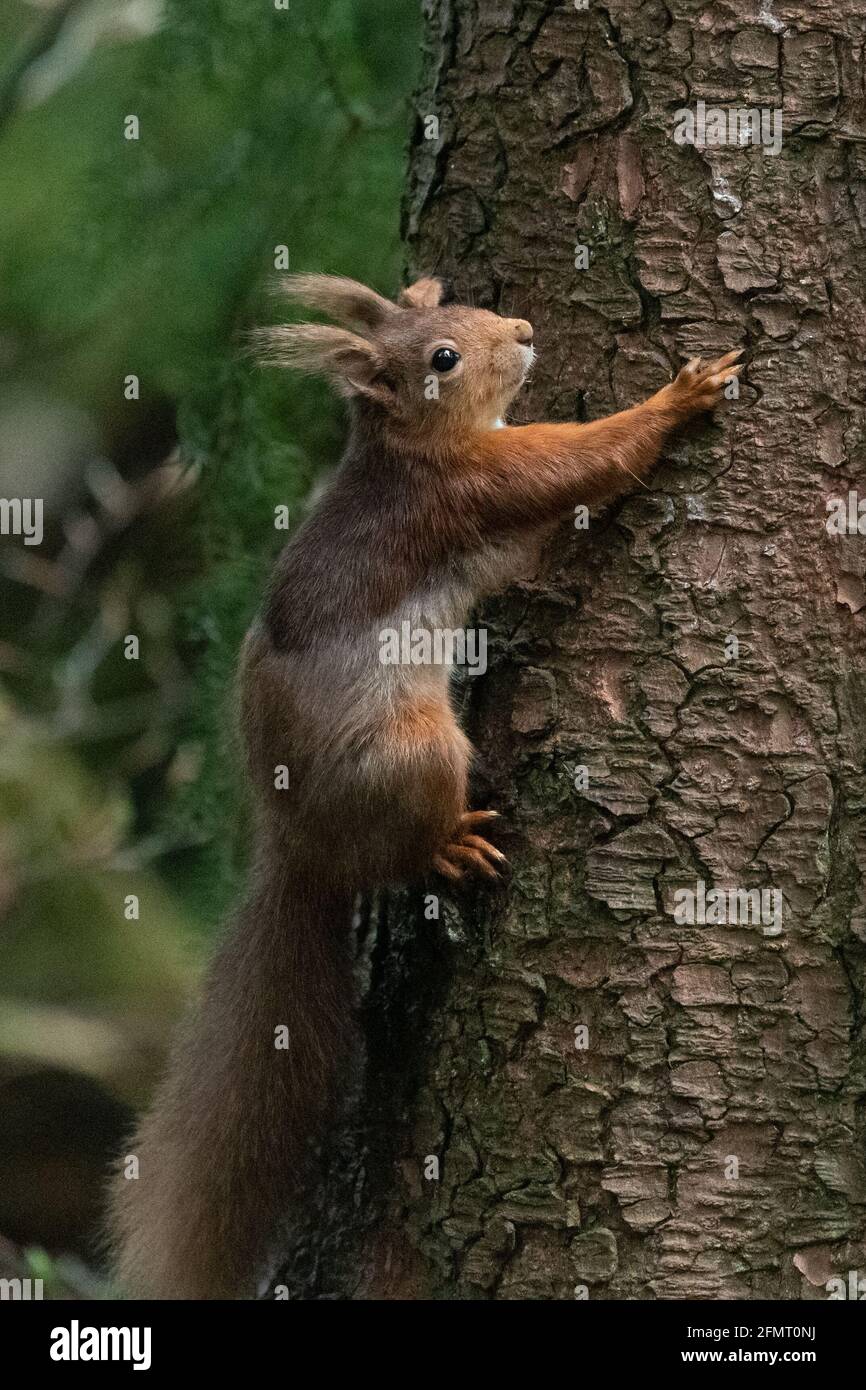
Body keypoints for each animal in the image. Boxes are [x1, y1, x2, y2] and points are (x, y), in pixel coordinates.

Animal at [109, 273, 742, 1299]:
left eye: (476, 310)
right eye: (442, 358)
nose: (523, 330)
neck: (409, 449)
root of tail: (299, 849)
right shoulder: (475, 489)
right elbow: (580, 463)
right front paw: (677, 398)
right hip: (418, 752)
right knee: (408, 845)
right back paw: (452, 844)